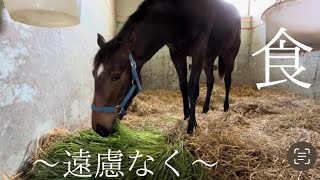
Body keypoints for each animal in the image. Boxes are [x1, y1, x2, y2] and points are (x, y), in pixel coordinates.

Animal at [90, 0, 240, 136]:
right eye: (93, 73)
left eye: (116, 76)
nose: (99, 128)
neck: (178, 14)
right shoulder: (177, 54)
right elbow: (183, 85)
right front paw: (186, 116)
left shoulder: (198, 51)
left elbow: (192, 88)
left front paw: (192, 125)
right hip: (209, 59)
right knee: (210, 81)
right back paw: (205, 109)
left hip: (229, 54)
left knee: (227, 80)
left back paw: (226, 107)